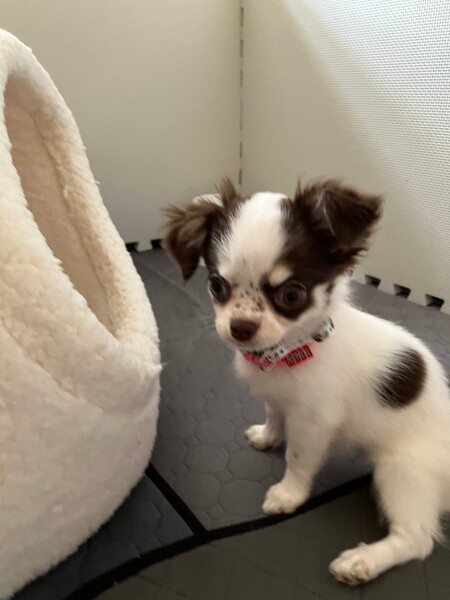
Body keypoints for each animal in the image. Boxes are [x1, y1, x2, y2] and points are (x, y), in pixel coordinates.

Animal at [163, 178, 450, 585]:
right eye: (217, 285)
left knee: (417, 539)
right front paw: (267, 437)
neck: (291, 350)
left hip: (404, 472)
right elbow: (273, 416)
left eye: (292, 294)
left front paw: (288, 495)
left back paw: (362, 562)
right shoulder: (278, 399)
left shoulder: (313, 423)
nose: (240, 327)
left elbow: (297, 459)